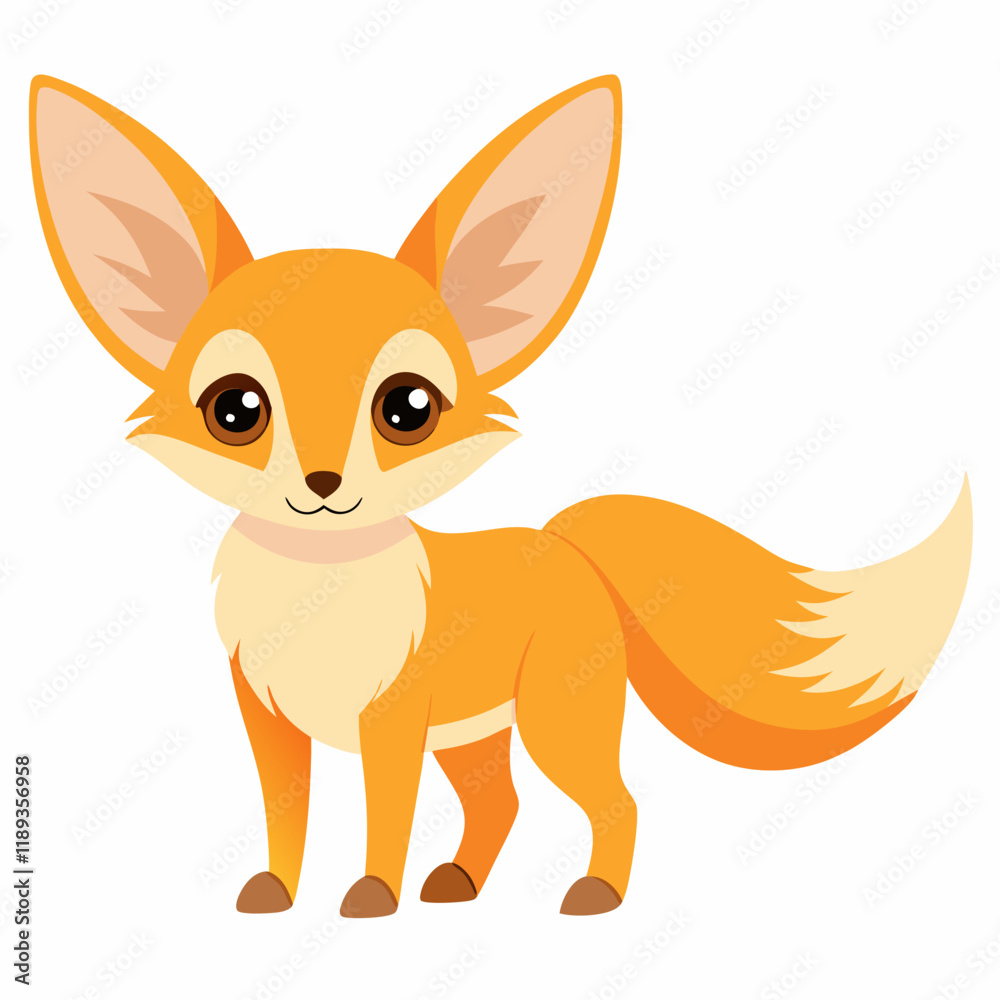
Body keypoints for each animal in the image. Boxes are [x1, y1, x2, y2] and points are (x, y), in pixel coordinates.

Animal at [30, 73, 972, 918]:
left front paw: (373, 897)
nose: (324, 485)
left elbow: (385, 817)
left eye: (407, 409)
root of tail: (561, 540)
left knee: (615, 799)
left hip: (554, 718)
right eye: (236, 410)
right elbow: (283, 818)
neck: (316, 599)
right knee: (502, 803)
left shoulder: (393, 721)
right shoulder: (269, 722)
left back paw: (594, 894)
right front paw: (277, 895)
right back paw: (460, 884)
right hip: (477, 731)